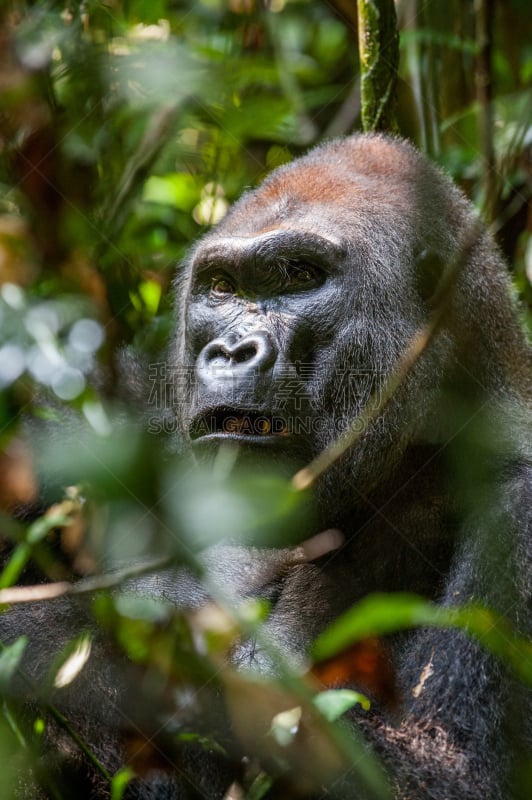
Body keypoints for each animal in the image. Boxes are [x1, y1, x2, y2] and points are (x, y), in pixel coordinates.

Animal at [0, 133, 528, 800]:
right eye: (222, 287)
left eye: (301, 275)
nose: (230, 351)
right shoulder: (113, 415)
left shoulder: (520, 514)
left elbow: (441, 770)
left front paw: (46, 640)